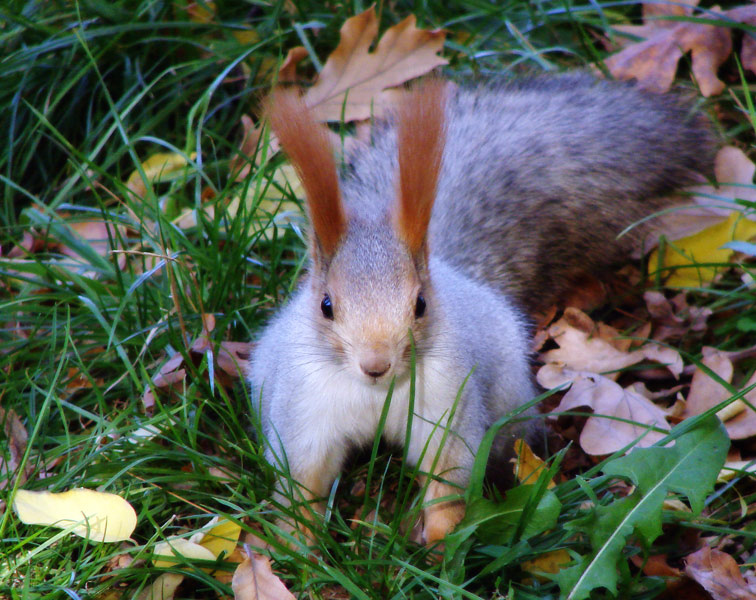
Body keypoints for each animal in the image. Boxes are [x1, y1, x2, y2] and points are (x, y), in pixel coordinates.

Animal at [248, 73, 715, 546]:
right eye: (326, 305)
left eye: (420, 304)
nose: (375, 365)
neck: (376, 395)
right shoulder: (303, 412)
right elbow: (302, 482)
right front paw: (295, 542)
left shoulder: (449, 405)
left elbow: (447, 478)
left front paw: (440, 544)